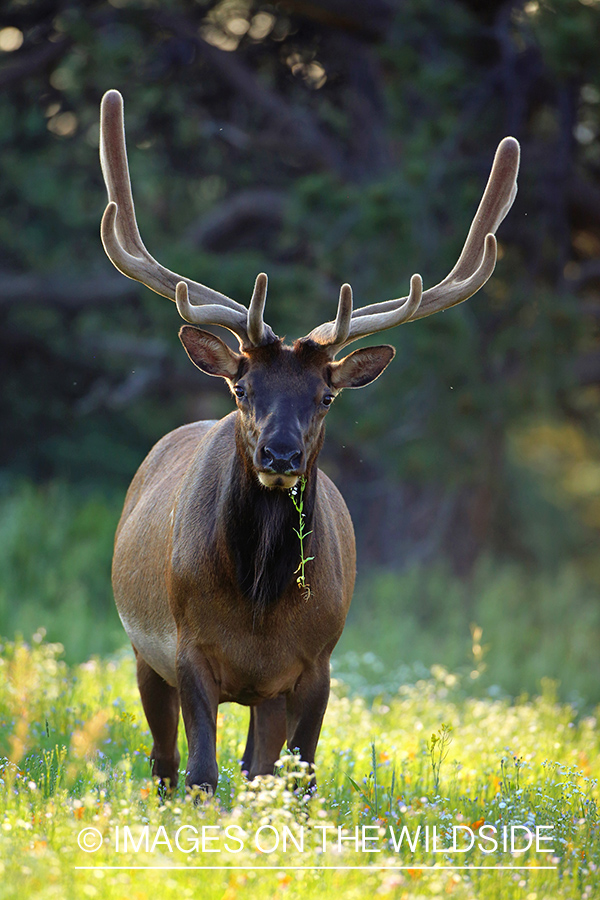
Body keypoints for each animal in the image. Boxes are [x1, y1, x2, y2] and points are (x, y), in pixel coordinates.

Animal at [99, 89, 519, 796]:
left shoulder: (316, 663)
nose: (280, 455)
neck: (259, 605)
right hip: (141, 652)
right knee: (163, 763)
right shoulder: (186, 648)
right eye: (243, 389)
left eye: (326, 397)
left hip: (261, 692)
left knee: (257, 767)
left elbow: (299, 777)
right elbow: (202, 773)